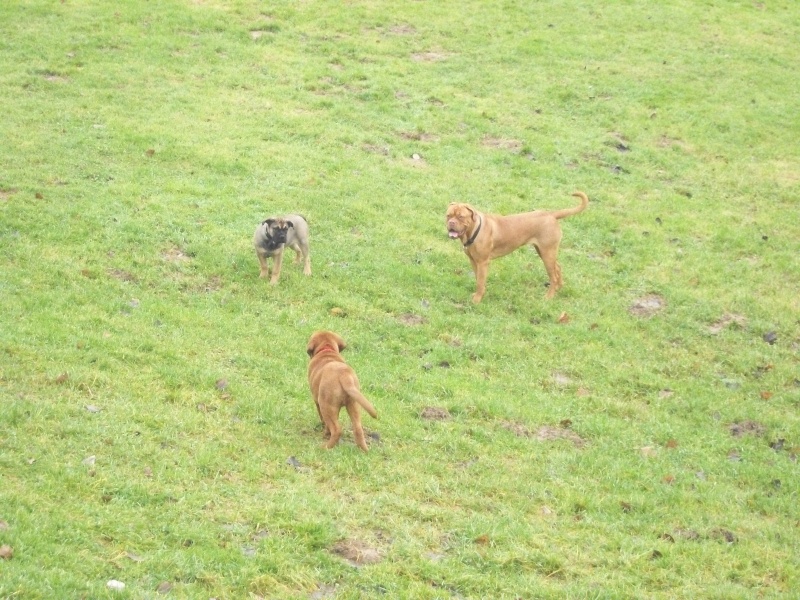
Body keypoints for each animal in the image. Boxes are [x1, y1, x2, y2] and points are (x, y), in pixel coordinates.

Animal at [444, 192, 588, 304]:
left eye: (461, 216)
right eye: (448, 215)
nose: (451, 223)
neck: (473, 230)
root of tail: (552, 214)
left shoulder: (483, 262)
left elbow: (480, 282)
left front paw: (477, 300)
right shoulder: (474, 261)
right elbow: (478, 279)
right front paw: (479, 294)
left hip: (547, 254)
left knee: (553, 276)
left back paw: (549, 296)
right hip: (544, 252)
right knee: (558, 268)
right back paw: (559, 287)